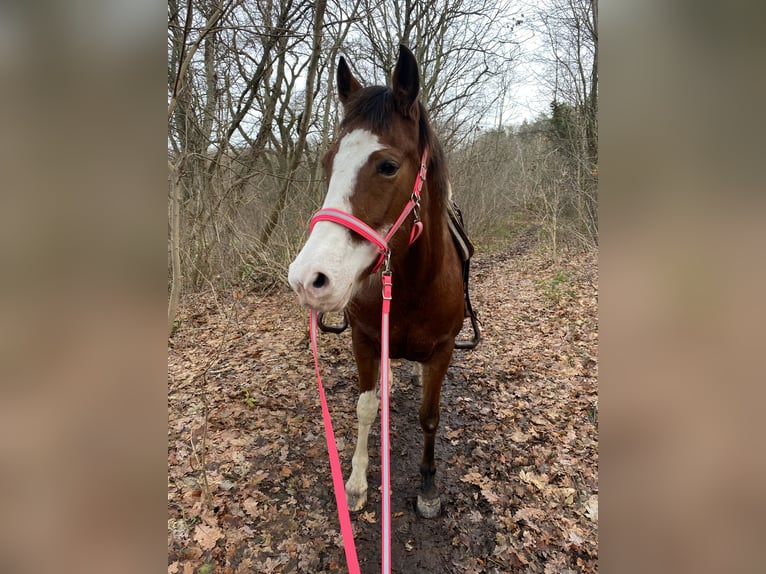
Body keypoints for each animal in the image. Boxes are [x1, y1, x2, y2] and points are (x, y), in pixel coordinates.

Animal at [288, 45, 465, 519]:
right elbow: (366, 407)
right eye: (328, 163)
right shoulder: (366, 340)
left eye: (387, 166)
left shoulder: (442, 352)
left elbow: (429, 416)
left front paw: (427, 487)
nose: (307, 279)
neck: (414, 285)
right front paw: (355, 482)